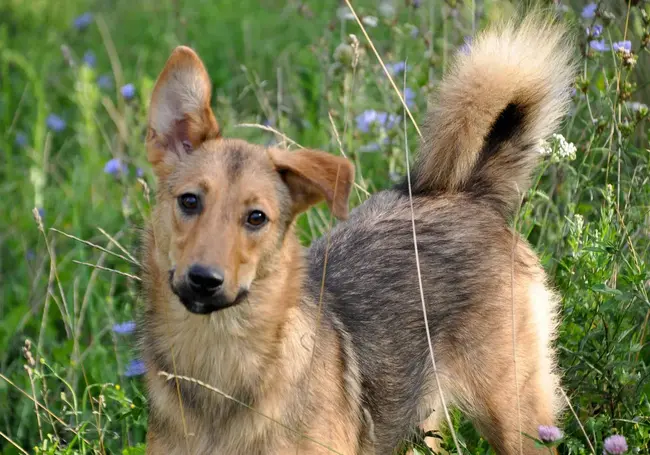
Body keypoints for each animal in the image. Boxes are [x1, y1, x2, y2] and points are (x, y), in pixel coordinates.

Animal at [138, 11, 572, 455]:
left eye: (256, 217)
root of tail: (469, 192)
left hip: (516, 420)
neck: (218, 363)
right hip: (422, 425)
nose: (203, 280)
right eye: (189, 201)